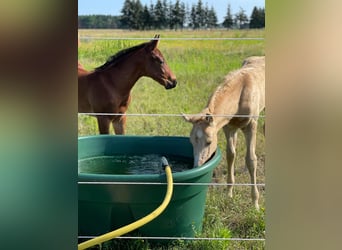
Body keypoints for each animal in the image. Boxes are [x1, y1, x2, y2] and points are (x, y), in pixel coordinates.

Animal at [183, 56, 266, 209]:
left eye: (209, 142)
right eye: (191, 141)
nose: (197, 165)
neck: (240, 94)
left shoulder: (251, 125)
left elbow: (251, 160)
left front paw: (255, 204)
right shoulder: (229, 127)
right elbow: (230, 154)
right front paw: (229, 194)